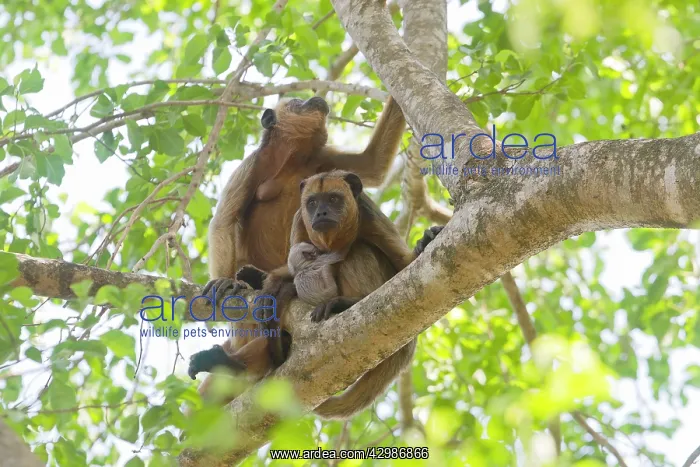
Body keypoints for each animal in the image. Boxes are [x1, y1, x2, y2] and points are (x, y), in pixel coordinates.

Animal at [189, 170, 444, 419]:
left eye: (333, 199)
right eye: (312, 203)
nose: (321, 212)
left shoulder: (370, 216)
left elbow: (404, 264)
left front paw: (426, 240)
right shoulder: (300, 221)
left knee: (359, 250)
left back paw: (346, 302)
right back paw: (228, 361)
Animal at [192, 95, 407, 403]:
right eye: (296, 101)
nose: (315, 98)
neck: (293, 160)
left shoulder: (325, 160)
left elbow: (374, 164)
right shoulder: (252, 165)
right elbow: (224, 221)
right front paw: (224, 280)